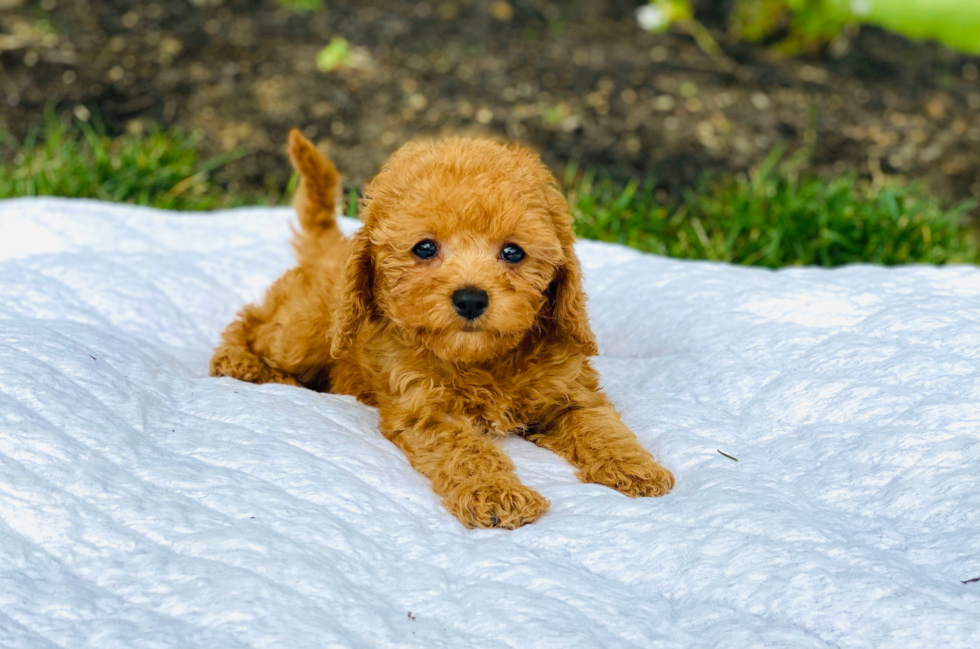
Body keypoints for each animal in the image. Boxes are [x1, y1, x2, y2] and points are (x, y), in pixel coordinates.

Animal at [212, 130, 672, 528]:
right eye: (425, 248)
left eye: (513, 252)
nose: (470, 298)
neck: (483, 361)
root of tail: (331, 248)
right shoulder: (428, 410)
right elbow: (466, 451)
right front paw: (497, 494)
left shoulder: (572, 392)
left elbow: (603, 426)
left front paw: (636, 467)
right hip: (307, 331)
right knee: (254, 322)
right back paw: (240, 362)